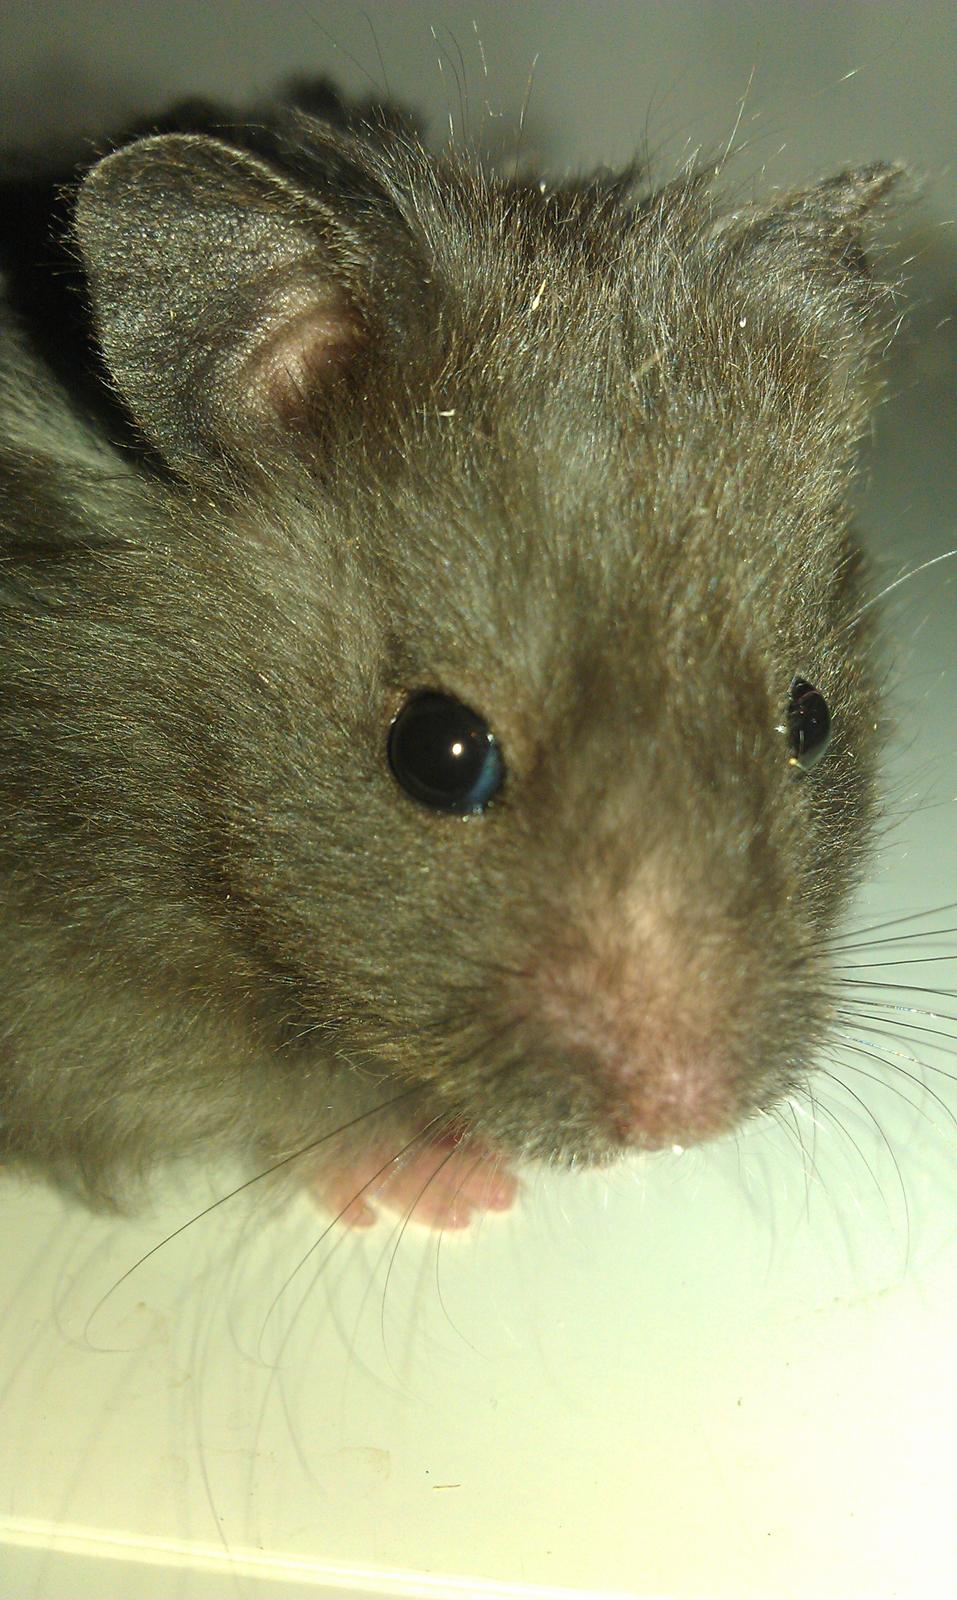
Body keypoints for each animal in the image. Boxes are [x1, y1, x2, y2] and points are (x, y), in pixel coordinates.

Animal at [0, 84, 901, 1225]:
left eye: (810, 719)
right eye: (438, 753)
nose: (687, 1120)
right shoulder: (73, 993)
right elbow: (240, 1082)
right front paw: (455, 1189)